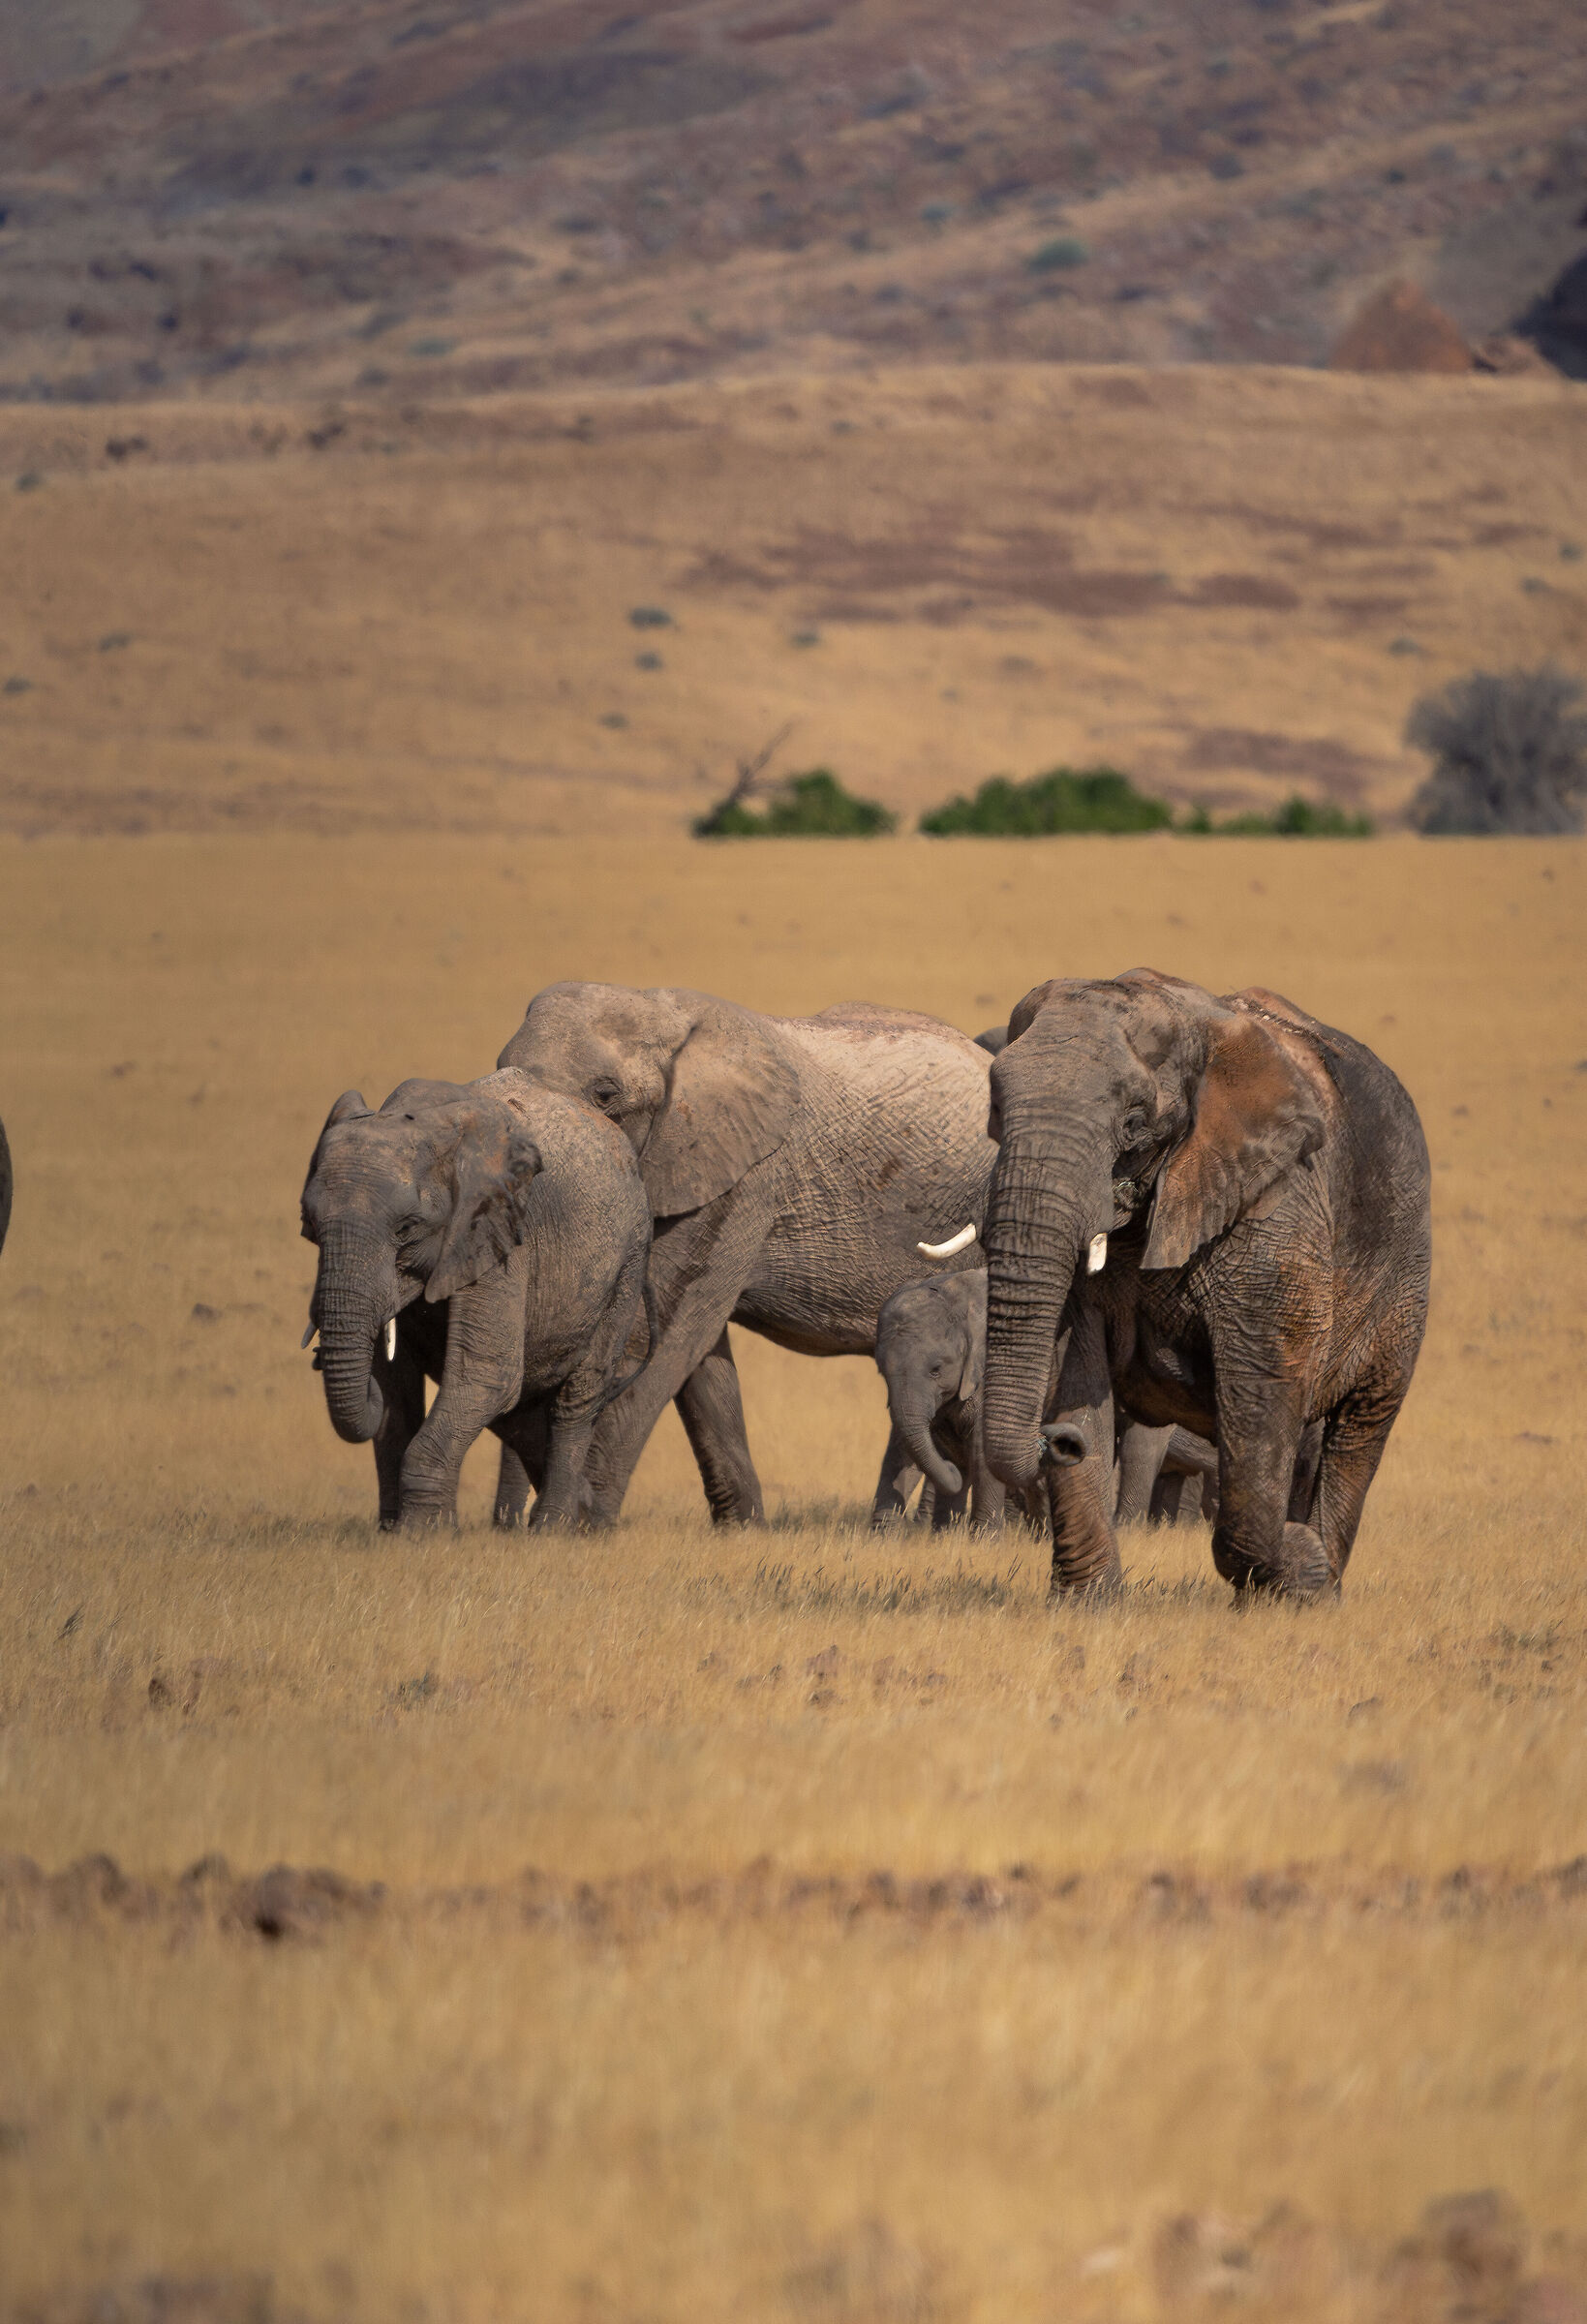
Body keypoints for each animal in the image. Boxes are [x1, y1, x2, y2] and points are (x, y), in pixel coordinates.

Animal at [300, 1070, 651, 1530]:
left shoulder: (501, 1235)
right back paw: (583, 1517)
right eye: (309, 1224)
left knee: (578, 1396)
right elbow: (396, 1388)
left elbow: (485, 1375)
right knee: (520, 1415)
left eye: (407, 1228)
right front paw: (395, 1532)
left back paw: (553, 1529)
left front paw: (423, 1533)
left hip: (629, 1261)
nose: (316, 1356)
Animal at [496, 984, 997, 1524]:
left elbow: (665, 1335)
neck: (660, 1011)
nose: (511, 1527)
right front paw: (743, 1528)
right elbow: (697, 1356)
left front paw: (583, 1528)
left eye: (605, 1096)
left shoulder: (741, 1176)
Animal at [980, 970, 1430, 1601]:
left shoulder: (1278, 1213)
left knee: (1357, 1429)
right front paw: (1087, 1606)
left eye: (1134, 1120)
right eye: (996, 1107)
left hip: (1403, 1277)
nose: (1059, 1441)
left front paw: (1301, 1567)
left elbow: (1260, 1388)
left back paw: (1320, 1582)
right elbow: (1074, 1367)